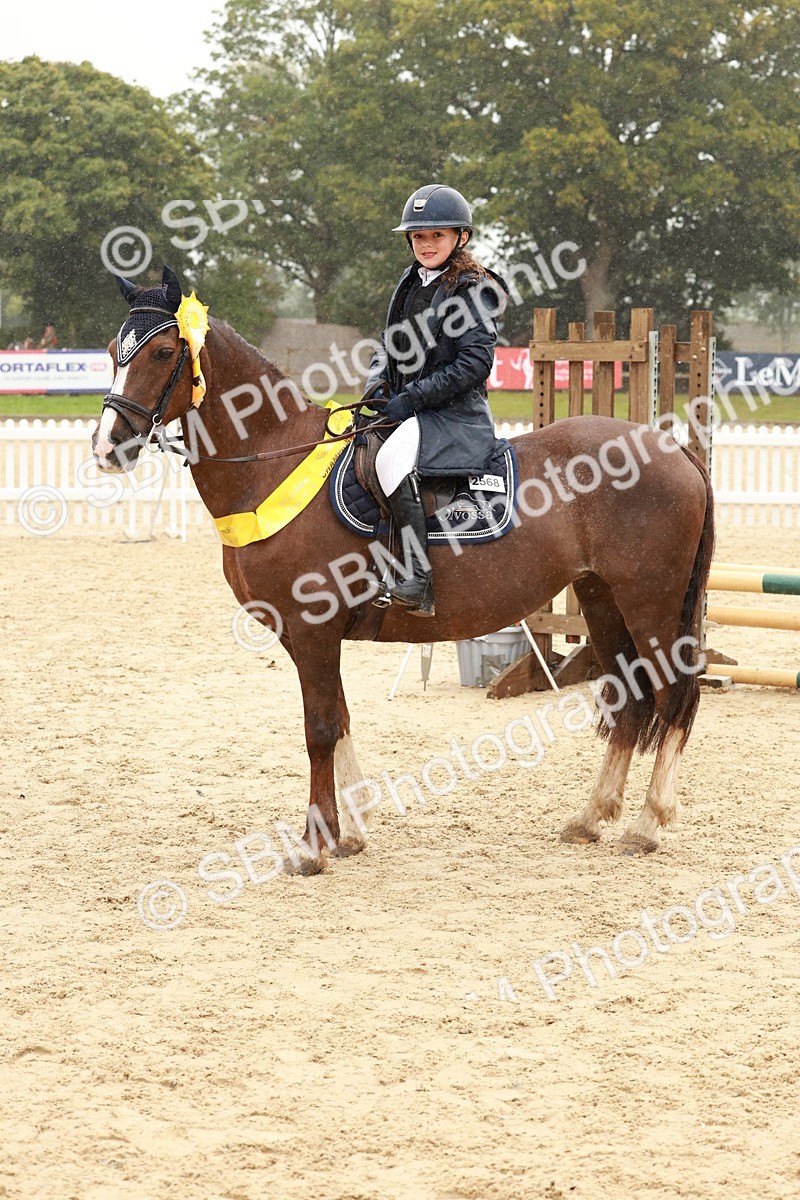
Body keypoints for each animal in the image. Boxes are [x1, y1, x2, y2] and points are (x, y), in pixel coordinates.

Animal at [92, 266, 715, 869]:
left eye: (162, 353)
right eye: (113, 349)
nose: (108, 447)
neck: (274, 463)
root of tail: (672, 449)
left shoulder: (314, 630)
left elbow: (319, 729)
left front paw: (314, 846)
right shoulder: (300, 635)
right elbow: (340, 719)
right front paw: (349, 833)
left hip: (649, 604)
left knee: (673, 697)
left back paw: (647, 824)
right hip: (601, 599)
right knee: (631, 699)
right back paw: (590, 819)